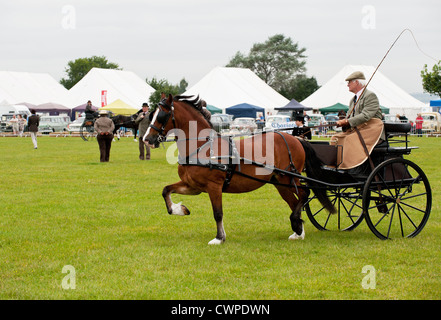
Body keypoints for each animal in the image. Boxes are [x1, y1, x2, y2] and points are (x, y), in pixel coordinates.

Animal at [144, 95, 334, 245]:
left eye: (161, 115)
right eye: (151, 114)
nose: (147, 139)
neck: (202, 146)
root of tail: (295, 139)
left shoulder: (214, 186)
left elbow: (218, 213)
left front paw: (219, 238)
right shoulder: (193, 186)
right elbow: (166, 190)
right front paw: (180, 209)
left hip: (289, 177)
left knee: (304, 194)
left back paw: (296, 224)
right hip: (280, 182)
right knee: (295, 202)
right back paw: (298, 231)